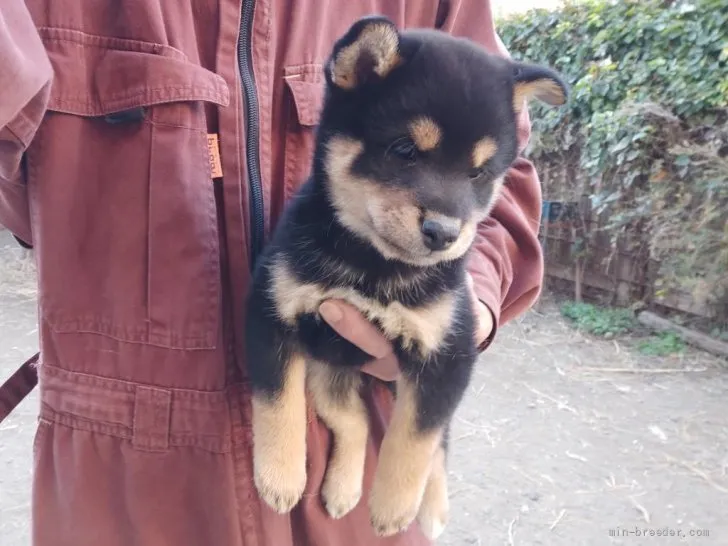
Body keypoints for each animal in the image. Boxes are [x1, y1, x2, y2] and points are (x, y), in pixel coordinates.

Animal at [245, 14, 568, 536]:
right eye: (404, 150)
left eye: (479, 173)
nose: (443, 232)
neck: (373, 268)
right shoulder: (272, 311)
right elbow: (277, 405)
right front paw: (280, 477)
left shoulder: (447, 357)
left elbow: (415, 442)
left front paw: (395, 507)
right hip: (328, 372)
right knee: (355, 421)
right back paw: (343, 490)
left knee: (437, 446)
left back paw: (431, 508)